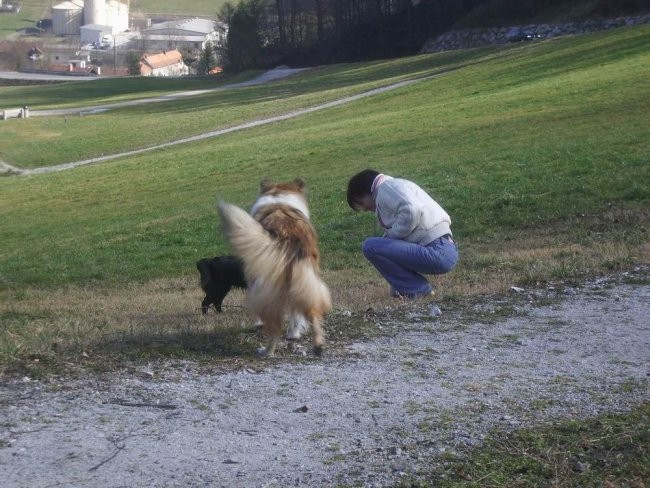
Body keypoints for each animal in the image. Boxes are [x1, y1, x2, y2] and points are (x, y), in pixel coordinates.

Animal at [218, 177, 332, 356]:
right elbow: (295, 313)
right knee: (311, 310)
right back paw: (318, 345)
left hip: (268, 286)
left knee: (275, 325)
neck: (278, 196)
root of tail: (287, 234)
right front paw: (294, 333)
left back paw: (267, 351)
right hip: (304, 278)